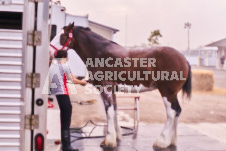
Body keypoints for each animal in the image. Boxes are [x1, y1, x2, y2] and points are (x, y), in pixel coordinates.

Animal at [59, 22, 191, 149]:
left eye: (62, 35)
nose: (56, 53)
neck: (99, 53)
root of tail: (184, 59)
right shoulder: (112, 90)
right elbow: (114, 110)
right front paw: (116, 136)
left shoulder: (105, 89)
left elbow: (109, 111)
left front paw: (109, 141)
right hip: (173, 94)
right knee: (178, 111)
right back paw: (171, 141)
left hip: (167, 93)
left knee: (171, 113)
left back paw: (161, 142)